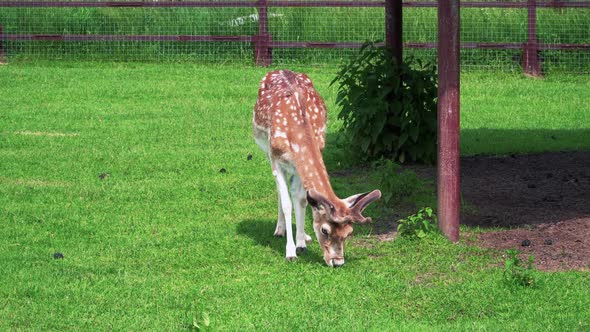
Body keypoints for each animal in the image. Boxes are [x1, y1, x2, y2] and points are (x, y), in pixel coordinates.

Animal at [252, 70, 382, 268]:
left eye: (349, 233)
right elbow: (287, 203)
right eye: (325, 230)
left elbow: (301, 200)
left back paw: (304, 235)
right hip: (266, 149)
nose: (337, 262)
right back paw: (279, 230)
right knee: (280, 191)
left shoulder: (301, 165)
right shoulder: (276, 159)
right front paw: (290, 252)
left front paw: (301, 243)